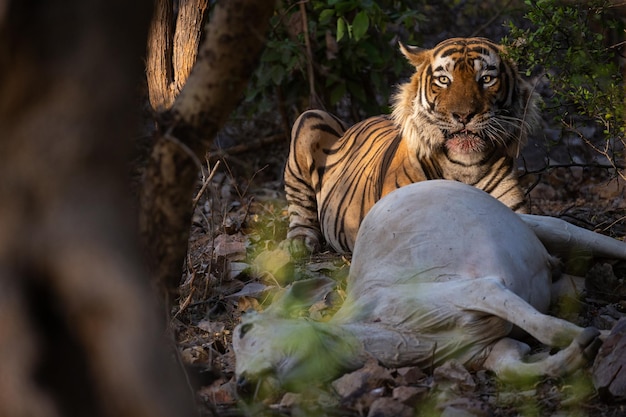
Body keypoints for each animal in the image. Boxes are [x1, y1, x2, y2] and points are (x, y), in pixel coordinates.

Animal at [282, 37, 536, 254]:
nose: (464, 115)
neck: (465, 165)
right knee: (299, 210)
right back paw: (299, 243)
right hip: (309, 118)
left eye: (486, 79)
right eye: (444, 80)